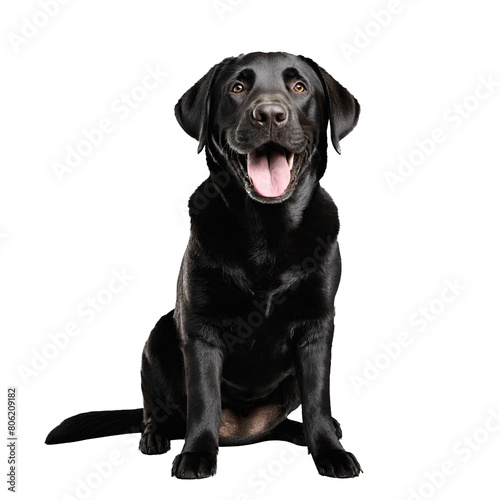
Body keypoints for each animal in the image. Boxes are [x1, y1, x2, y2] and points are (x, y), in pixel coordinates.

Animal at [46, 51, 360, 480]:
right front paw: (197, 453)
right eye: (238, 88)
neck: (267, 231)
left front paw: (329, 450)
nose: (270, 115)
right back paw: (155, 436)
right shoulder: (200, 328)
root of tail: (242, 433)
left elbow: (318, 397)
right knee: (154, 412)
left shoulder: (317, 325)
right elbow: (204, 396)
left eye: (299, 87)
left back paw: (308, 432)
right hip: (158, 337)